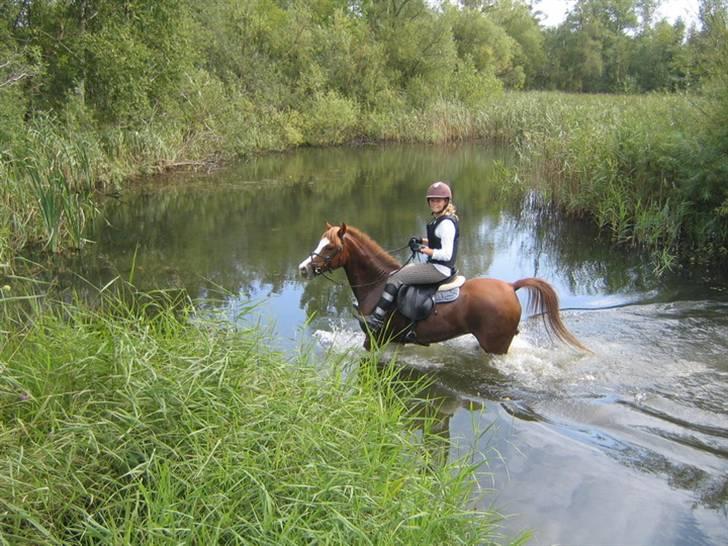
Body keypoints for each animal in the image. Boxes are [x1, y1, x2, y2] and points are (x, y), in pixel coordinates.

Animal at [296, 221, 584, 352]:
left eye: (330, 247)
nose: (303, 268)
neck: (377, 284)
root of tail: (511, 286)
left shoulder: (375, 339)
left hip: (495, 345)